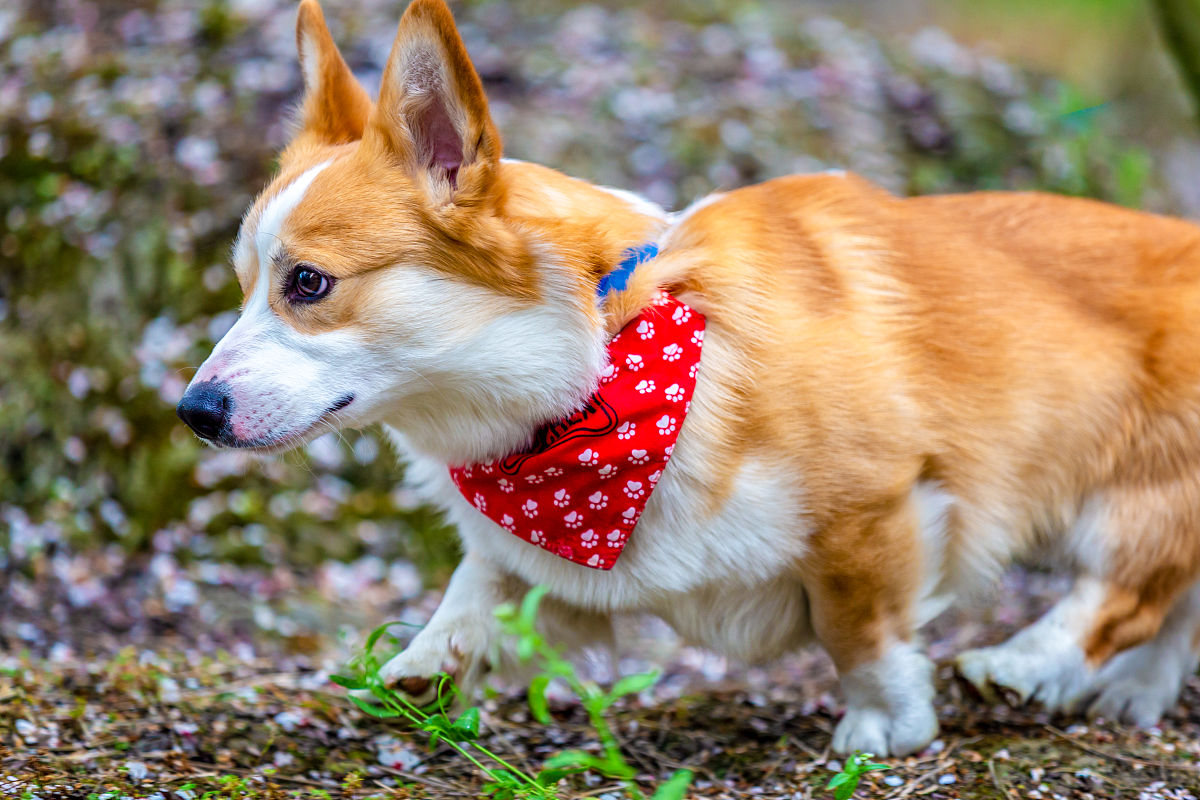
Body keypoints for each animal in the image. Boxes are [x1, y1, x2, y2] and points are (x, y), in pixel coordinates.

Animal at [175, 0, 1200, 758]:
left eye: (309, 283)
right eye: (243, 285)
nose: (193, 411)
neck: (606, 359)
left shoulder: (872, 510)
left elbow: (860, 633)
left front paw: (886, 724)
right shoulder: (530, 544)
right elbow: (481, 581)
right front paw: (426, 665)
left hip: (1134, 490)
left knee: (1131, 586)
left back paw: (1027, 664)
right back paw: (1129, 694)